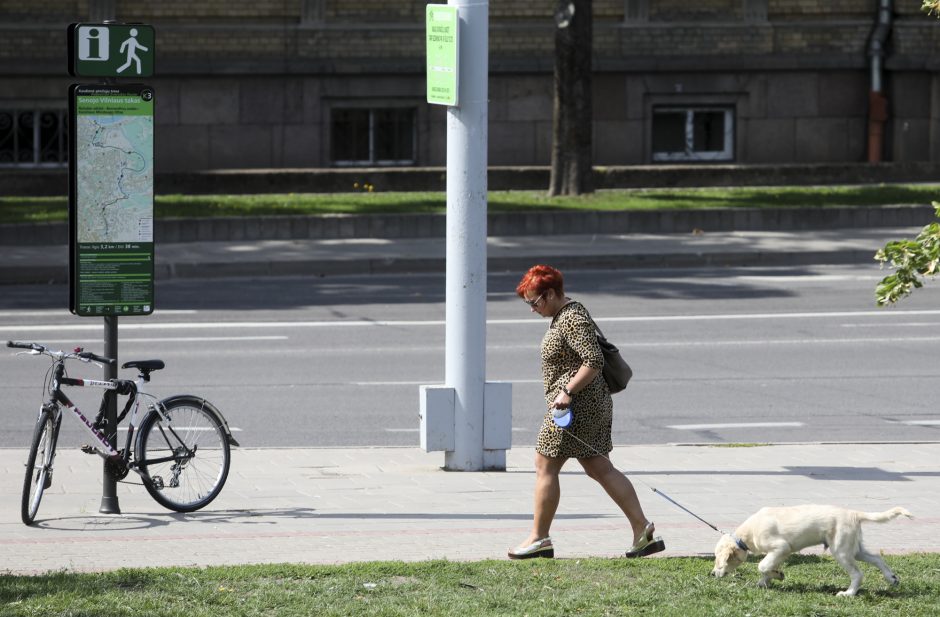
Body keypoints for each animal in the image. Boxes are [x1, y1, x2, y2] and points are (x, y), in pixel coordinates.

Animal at [712, 502, 912, 596]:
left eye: (717, 560)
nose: (712, 574)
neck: (747, 534)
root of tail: (853, 514)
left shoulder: (781, 547)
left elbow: (762, 566)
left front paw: (775, 576)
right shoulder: (780, 552)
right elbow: (768, 567)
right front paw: (768, 579)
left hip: (841, 550)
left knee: (858, 574)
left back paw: (848, 594)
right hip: (855, 549)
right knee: (877, 558)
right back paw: (892, 578)